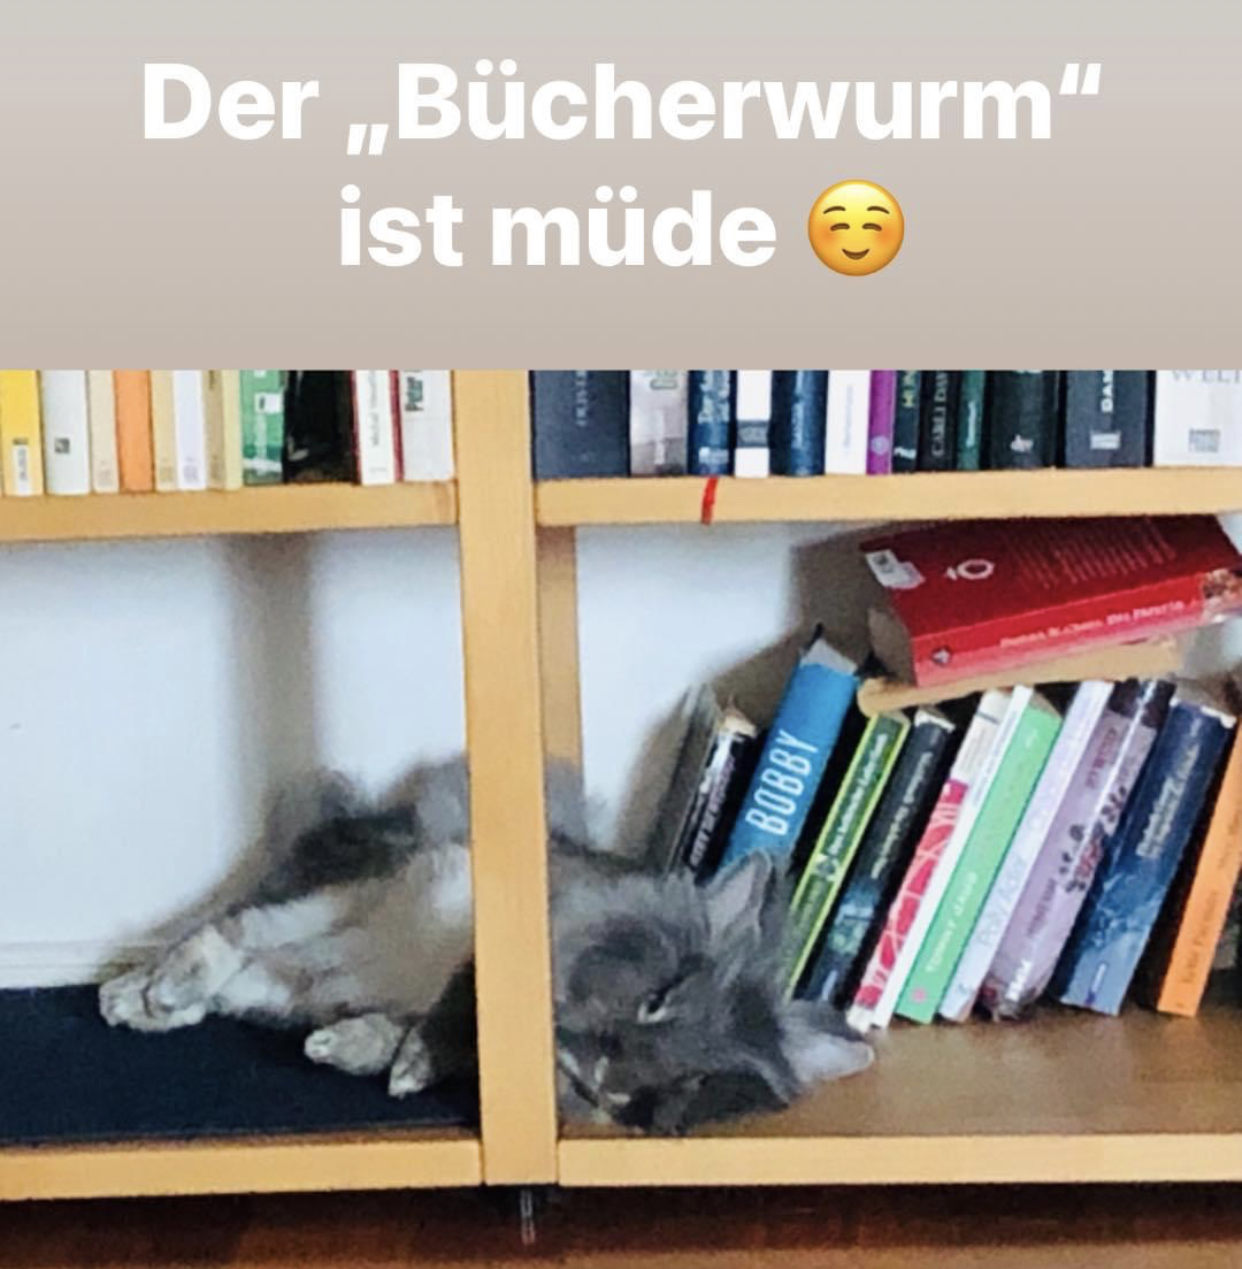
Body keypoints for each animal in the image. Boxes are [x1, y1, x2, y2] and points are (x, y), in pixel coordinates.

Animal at [99, 760, 872, 1133]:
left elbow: (437, 1027)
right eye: (659, 998)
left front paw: (373, 1057)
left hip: (308, 963)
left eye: (697, 1082)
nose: (609, 1084)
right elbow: (460, 997)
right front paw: (404, 1060)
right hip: (364, 886)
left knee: (250, 976)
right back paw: (143, 993)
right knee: (231, 933)